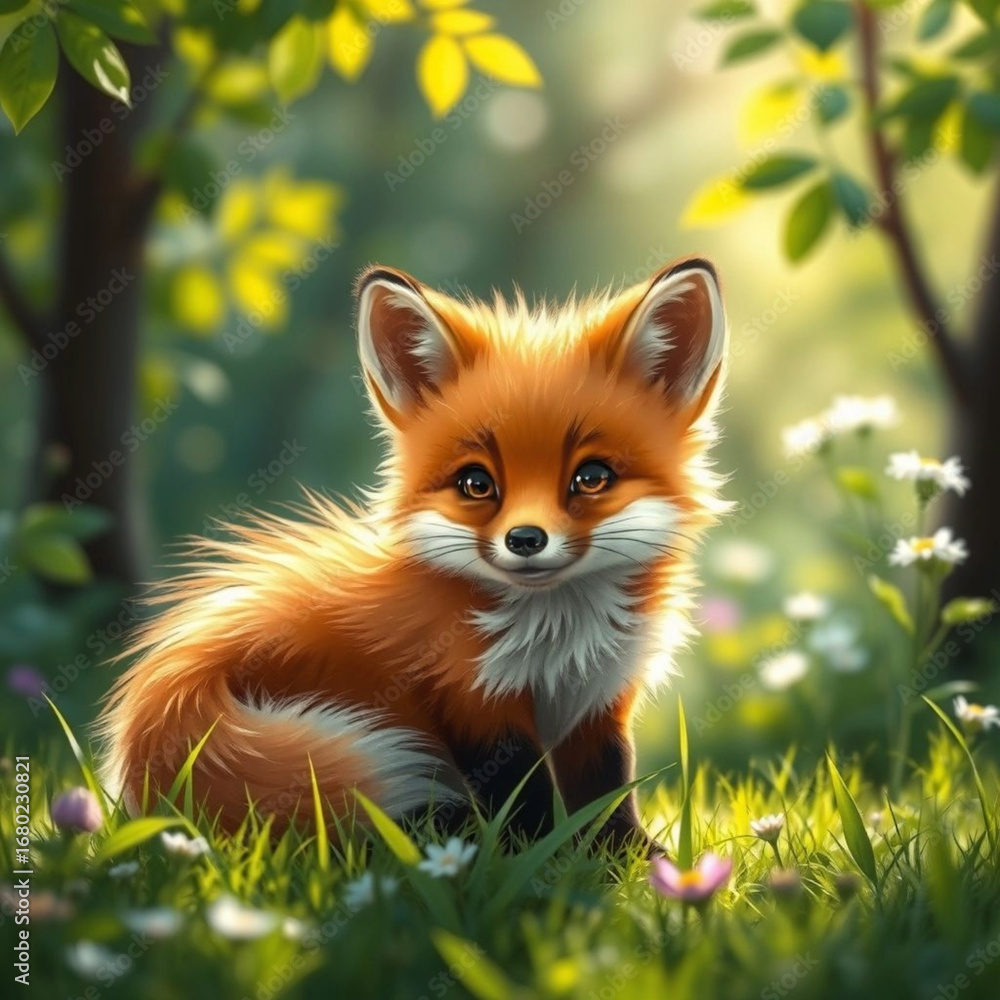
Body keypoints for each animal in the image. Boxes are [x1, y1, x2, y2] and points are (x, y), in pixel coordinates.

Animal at [99, 256, 729, 853]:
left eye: (592, 477)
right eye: (476, 483)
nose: (525, 539)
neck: (556, 643)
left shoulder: (596, 702)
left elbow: (607, 793)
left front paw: (634, 862)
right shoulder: (474, 702)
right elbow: (526, 803)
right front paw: (549, 863)